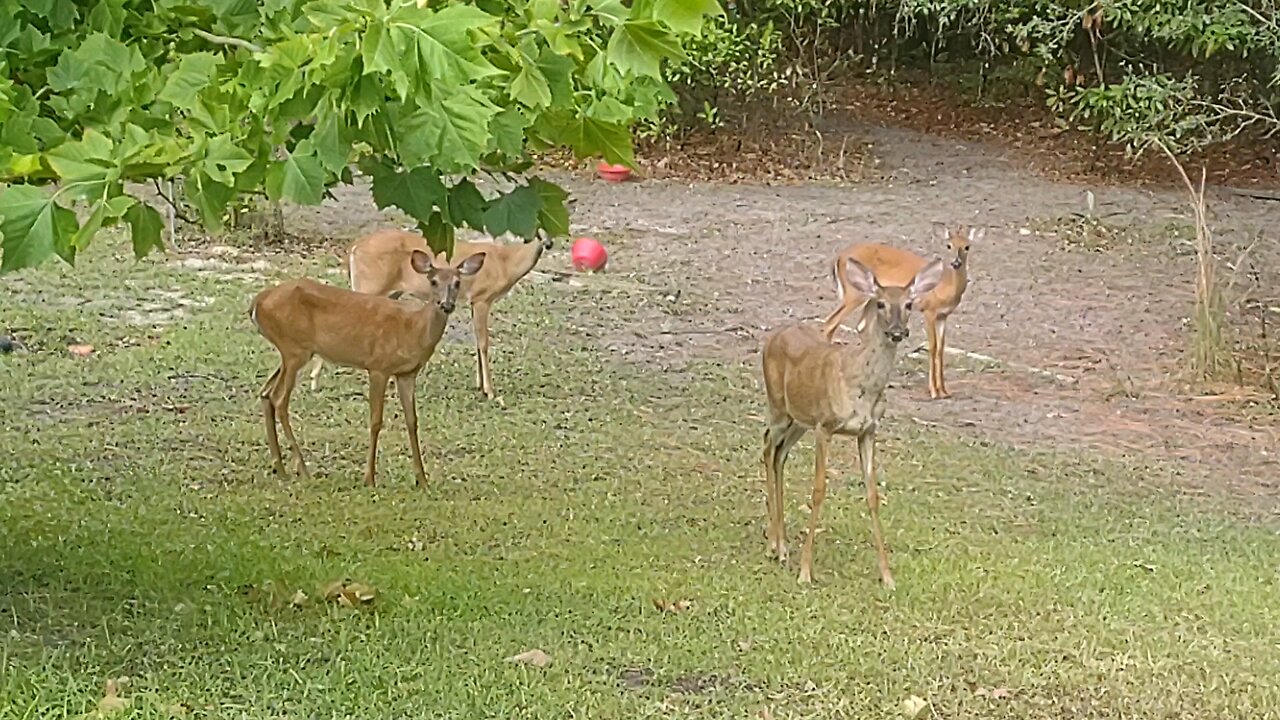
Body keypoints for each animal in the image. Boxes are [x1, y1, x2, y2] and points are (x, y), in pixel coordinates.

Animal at [248, 248, 483, 486]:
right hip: (294, 349)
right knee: (279, 399)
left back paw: (280, 468)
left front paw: (422, 481)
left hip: (292, 352)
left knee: (266, 393)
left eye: (457, 282)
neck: (413, 329)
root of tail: (258, 303)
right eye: (433, 281)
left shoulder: (407, 374)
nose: (446, 305)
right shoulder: (379, 366)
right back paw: (303, 471)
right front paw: (369, 478)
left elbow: (412, 421)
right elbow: (375, 421)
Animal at [309, 226, 555, 397]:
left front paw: (479, 386)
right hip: (370, 285)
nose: (550, 242)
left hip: (388, 292)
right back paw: (315, 380)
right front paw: (491, 391)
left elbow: (477, 343)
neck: (506, 263)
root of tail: (355, 246)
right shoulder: (481, 298)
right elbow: (484, 343)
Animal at [757, 254, 952, 586]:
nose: (898, 331)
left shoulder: (868, 431)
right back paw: (776, 545)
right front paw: (805, 572)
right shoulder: (825, 425)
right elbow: (818, 490)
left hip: (799, 420)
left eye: (909, 304)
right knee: (768, 445)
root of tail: (773, 337)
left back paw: (781, 544)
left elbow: (872, 495)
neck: (861, 386)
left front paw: (887, 577)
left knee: (779, 454)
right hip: (779, 406)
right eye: (881, 303)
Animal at [819, 222, 977, 397]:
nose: (956, 263)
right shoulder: (928, 311)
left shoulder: (943, 315)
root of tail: (839, 257)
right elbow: (933, 347)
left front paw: (943, 391)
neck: (946, 286)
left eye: (967, 246)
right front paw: (934, 392)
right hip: (855, 294)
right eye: (948, 245)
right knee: (831, 323)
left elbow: (941, 349)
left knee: (861, 326)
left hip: (872, 298)